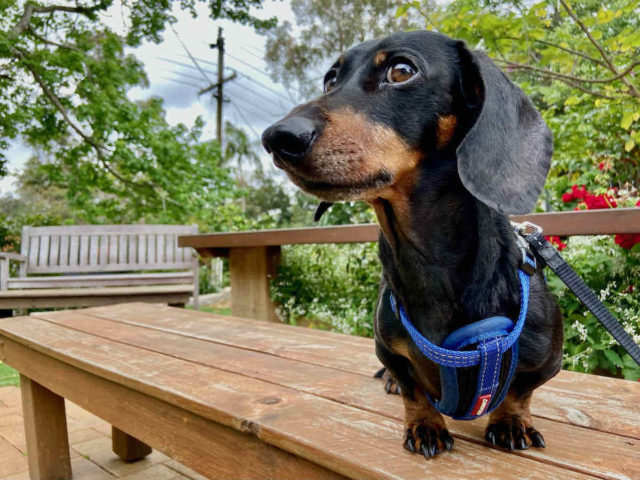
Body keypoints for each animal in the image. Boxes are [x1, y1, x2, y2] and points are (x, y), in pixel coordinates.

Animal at [262, 30, 564, 458]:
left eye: (401, 70)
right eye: (330, 80)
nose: (276, 138)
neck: (429, 263)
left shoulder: (548, 359)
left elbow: (520, 390)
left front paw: (510, 420)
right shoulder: (387, 347)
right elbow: (412, 389)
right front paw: (426, 425)